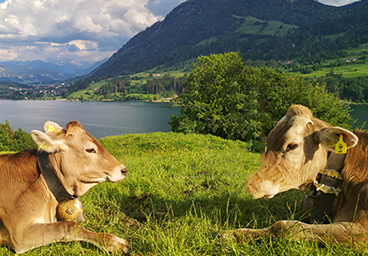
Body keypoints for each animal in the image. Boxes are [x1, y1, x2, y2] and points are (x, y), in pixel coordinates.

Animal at [220, 104, 368, 248]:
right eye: (268, 142)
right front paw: (231, 234)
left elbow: (282, 226)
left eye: (292, 145)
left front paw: (231, 235)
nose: (252, 185)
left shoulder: (360, 231)